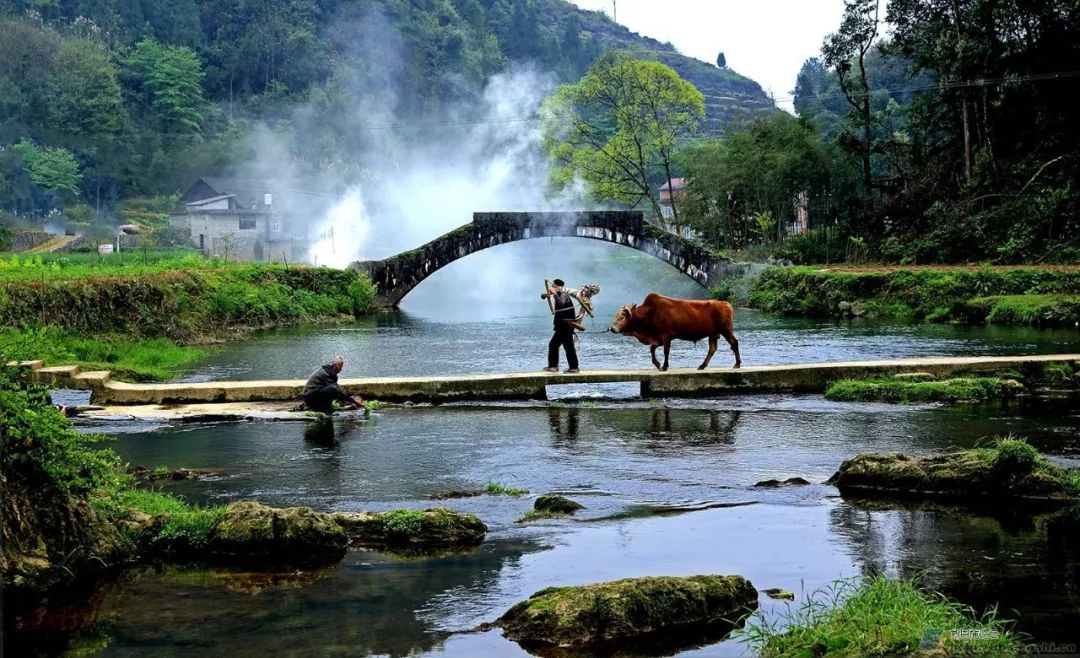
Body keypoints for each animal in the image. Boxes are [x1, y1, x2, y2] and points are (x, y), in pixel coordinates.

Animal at [609, 291, 743, 369]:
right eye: (616, 316)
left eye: (622, 317)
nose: (611, 328)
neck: (650, 312)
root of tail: (725, 303)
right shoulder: (658, 338)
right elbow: (652, 349)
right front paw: (657, 364)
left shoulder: (666, 336)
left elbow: (666, 351)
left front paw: (664, 366)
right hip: (713, 333)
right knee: (713, 348)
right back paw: (702, 365)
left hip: (726, 330)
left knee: (734, 343)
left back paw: (737, 364)